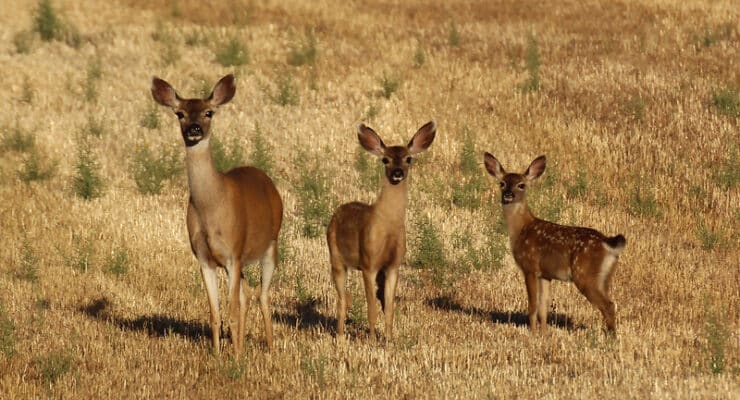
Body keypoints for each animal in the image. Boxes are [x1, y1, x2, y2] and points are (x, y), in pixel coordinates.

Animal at [151, 74, 283, 356]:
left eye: (208, 112)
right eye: (179, 113)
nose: (194, 129)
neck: (211, 208)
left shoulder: (233, 252)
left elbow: (231, 312)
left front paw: (236, 358)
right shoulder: (205, 258)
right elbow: (216, 313)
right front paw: (219, 354)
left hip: (270, 245)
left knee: (262, 295)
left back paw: (270, 347)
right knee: (246, 295)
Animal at [327, 121, 436, 340]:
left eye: (408, 158)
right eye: (385, 159)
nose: (397, 172)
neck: (388, 227)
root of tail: (337, 211)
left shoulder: (393, 265)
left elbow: (389, 307)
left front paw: (389, 339)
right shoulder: (368, 263)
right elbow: (371, 308)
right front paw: (371, 339)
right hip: (335, 257)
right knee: (342, 298)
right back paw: (340, 336)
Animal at [483, 153, 626, 334]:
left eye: (521, 185)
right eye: (502, 183)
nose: (508, 194)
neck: (521, 229)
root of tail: (609, 243)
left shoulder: (530, 267)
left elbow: (533, 305)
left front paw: (533, 333)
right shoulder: (545, 274)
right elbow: (543, 307)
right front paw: (544, 333)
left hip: (585, 274)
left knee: (608, 305)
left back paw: (611, 337)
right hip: (604, 278)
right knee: (611, 303)